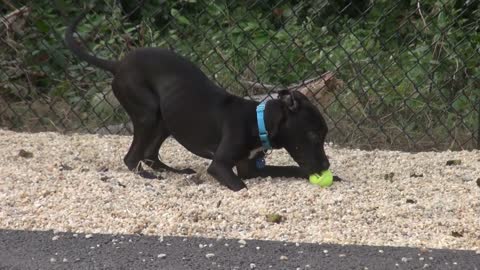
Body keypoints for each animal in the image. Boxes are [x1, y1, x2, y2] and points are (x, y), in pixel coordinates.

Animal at [64, 11, 330, 191]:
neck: (258, 120)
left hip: (165, 118)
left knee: (150, 154)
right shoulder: (219, 166)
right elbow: (240, 186)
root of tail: (118, 64)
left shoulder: (249, 168)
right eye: (313, 135)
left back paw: (175, 170)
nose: (326, 167)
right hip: (148, 113)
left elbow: (291, 168)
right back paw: (146, 175)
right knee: (131, 158)